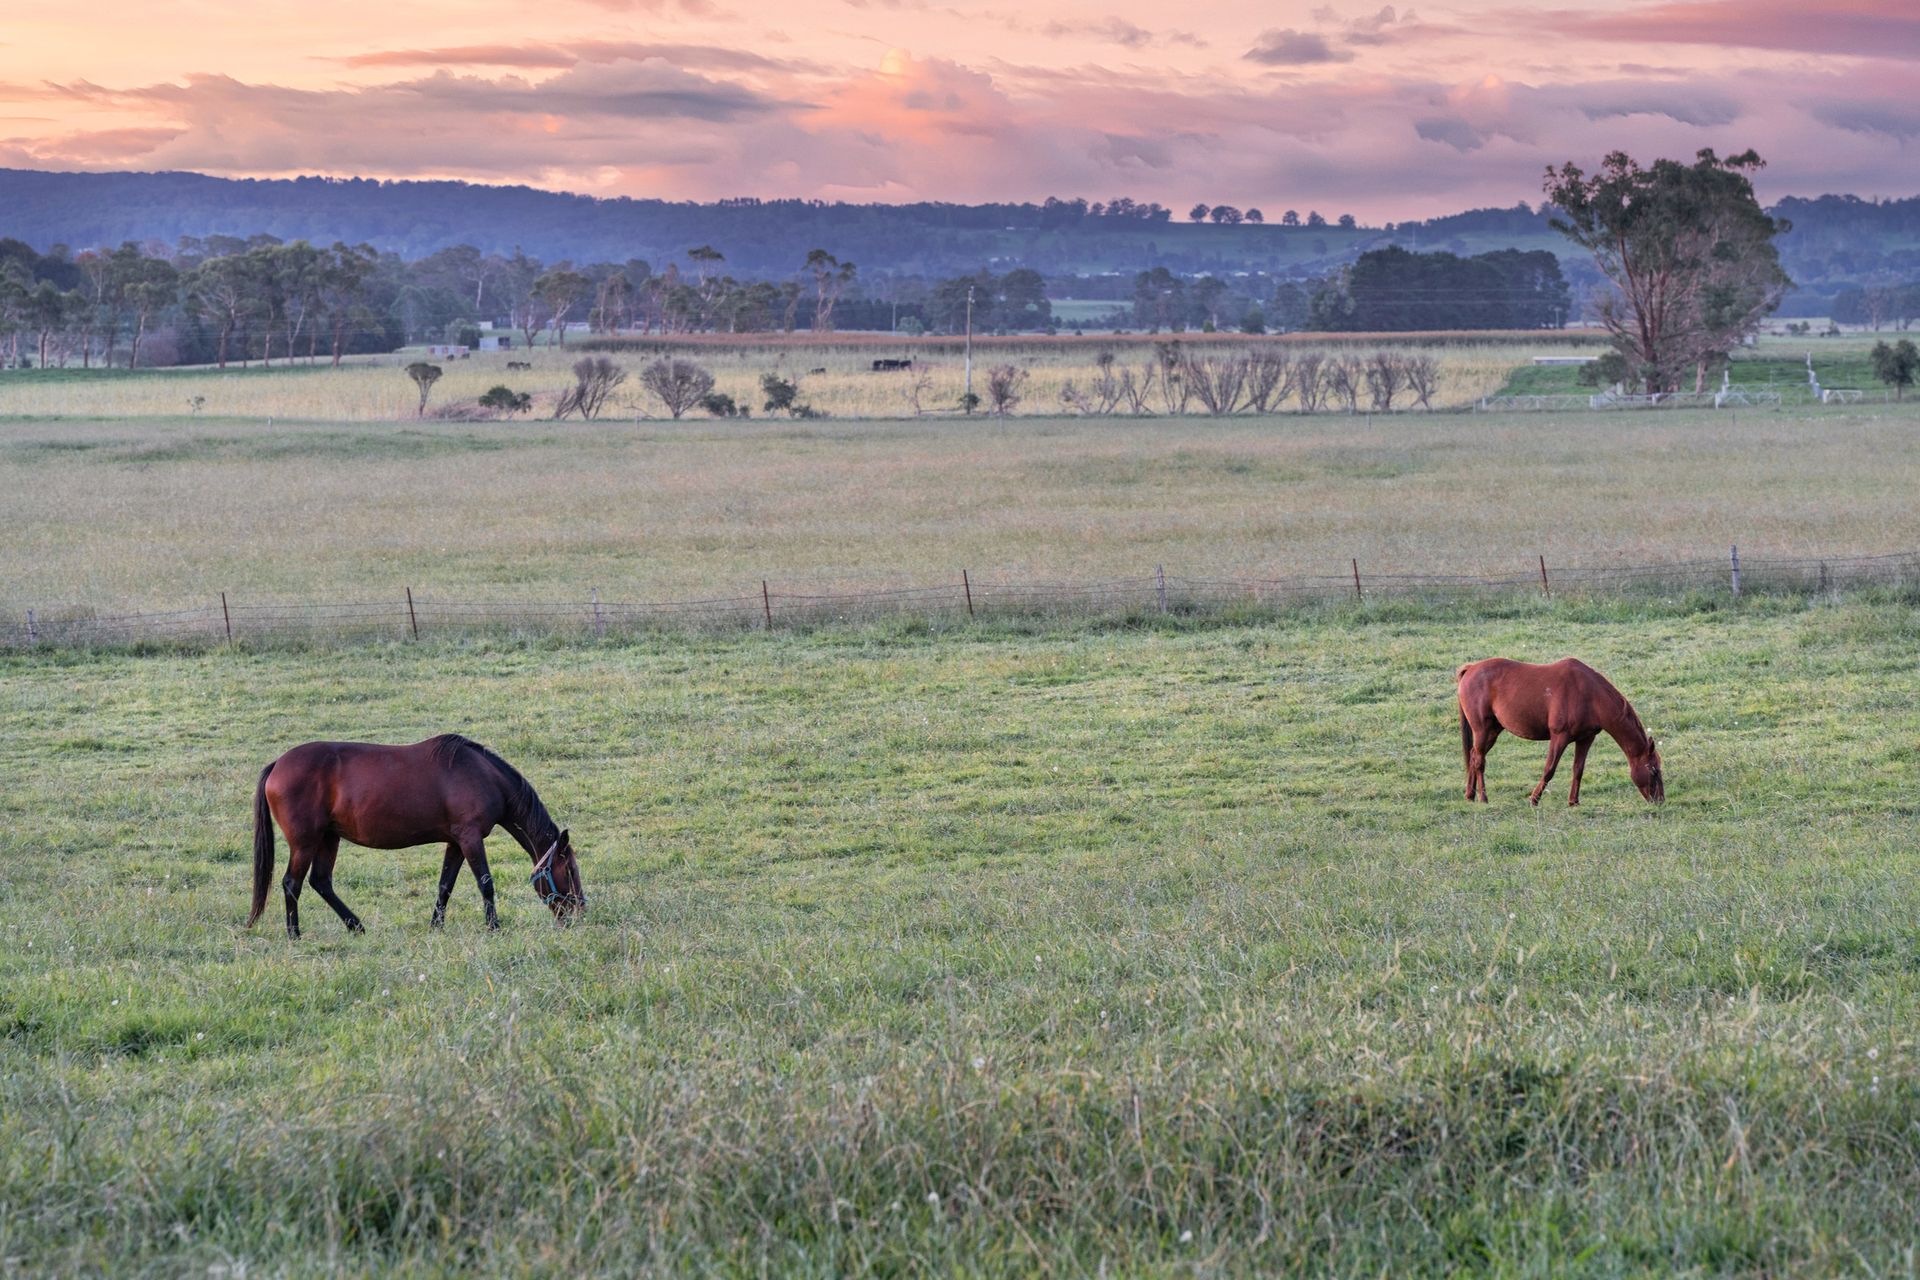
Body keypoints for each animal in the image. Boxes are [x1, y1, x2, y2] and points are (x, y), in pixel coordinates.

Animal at [248, 734, 584, 939]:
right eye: (569, 870)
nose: (579, 914)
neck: (484, 775)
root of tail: (278, 764)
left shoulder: (456, 842)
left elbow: (445, 885)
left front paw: (436, 926)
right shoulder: (471, 838)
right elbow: (485, 883)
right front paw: (494, 928)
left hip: (329, 838)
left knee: (321, 882)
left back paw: (356, 926)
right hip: (305, 842)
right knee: (292, 883)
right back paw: (295, 934)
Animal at [1456, 658, 1664, 807]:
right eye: (1653, 770)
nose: (1660, 801)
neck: (1589, 694)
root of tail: (1471, 668)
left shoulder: (1586, 738)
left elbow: (1578, 769)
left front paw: (1574, 801)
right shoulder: (1559, 737)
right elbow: (1549, 769)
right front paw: (1534, 799)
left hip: (1492, 731)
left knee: (1474, 755)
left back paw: (1470, 795)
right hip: (1482, 729)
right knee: (1479, 760)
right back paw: (1483, 798)